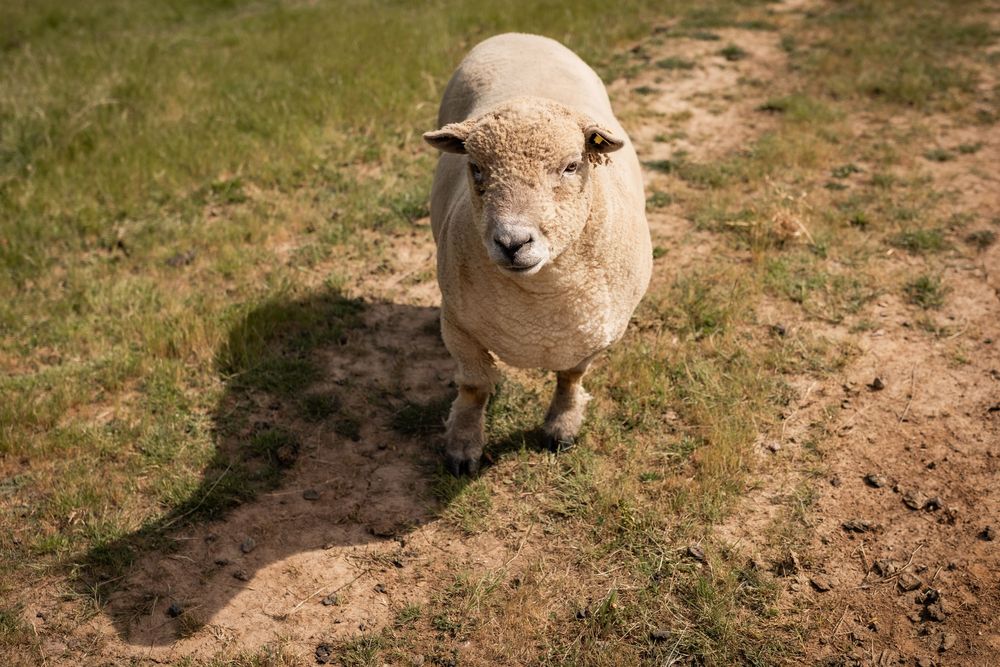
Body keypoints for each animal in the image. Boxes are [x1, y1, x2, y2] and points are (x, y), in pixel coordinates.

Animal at [423, 33, 651, 475]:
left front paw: (562, 427)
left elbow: (571, 378)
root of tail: (517, 34)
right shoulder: (458, 325)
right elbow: (474, 386)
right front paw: (463, 446)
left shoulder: (592, 335)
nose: (512, 242)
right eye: (476, 168)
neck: (540, 306)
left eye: (572, 166)